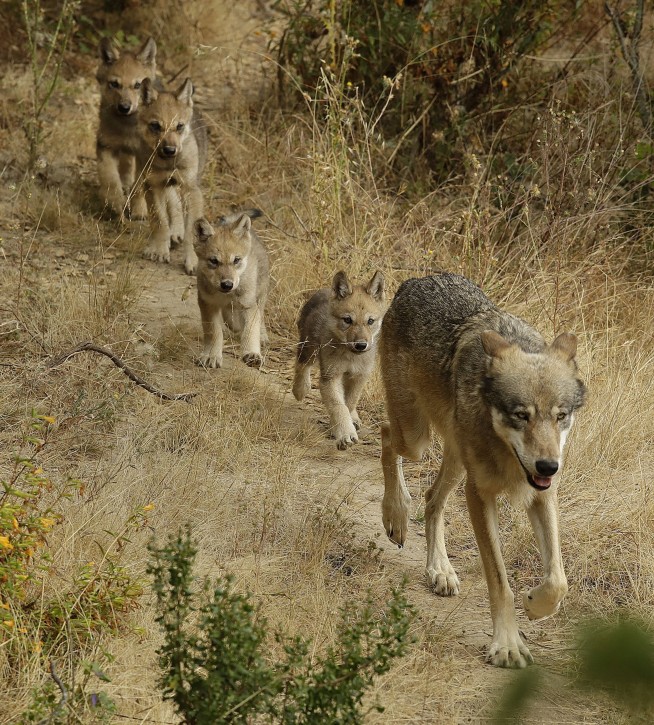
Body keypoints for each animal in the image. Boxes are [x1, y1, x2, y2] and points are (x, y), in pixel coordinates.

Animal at [95, 36, 157, 221]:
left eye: (137, 85)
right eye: (114, 84)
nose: (124, 107)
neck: (126, 128)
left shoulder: (144, 157)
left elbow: (138, 187)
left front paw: (139, 211)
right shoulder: (106, 147)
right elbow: (110, 180)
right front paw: (115, 204)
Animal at [137, 77, 208, 275]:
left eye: (179, 126)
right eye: (155, 126)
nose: (170, 150)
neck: (168, 164)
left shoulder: (191, 190)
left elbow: (191, 232)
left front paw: (192, 261)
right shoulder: (153, 186)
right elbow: (159, 221)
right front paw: (160, 250)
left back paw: (176, 233)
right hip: (157, 184)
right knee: (169, 207)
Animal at [194, 210, 269, 369]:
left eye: (236, 260)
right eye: (213, 261)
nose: (227, 284)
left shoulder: (248, 305)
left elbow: (250, 330)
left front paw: (252, 354)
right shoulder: (208, 304)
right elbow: (214, 332)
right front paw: (212, 356)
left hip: (260, 295)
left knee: (260, 316)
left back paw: (263, 336)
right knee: (232, 320)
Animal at [293, 270, 385, 450]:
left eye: (370, 321)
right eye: (347, 320)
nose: (361, 345)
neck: (351, 357)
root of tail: (323, 290)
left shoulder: (359, 376)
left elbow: (349, 403)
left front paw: (340, 427)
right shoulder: (330, 377)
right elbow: (339, 406)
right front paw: (345, 434)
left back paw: (355, 419)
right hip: (309, 348)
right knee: (301, 365)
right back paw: (300, 389)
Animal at [380, 273, 586, 668]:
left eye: (560, 415)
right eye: (521, 415)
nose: (549, 465)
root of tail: (417, 279)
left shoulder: (543, 494)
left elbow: (558, 580)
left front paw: (535, 606)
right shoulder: (479, 495)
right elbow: (500, 581)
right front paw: (507, 645)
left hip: (455, 461)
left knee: (431, 498)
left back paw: (439, 570)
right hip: (416, 439)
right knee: (385, 437)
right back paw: (395, 516)